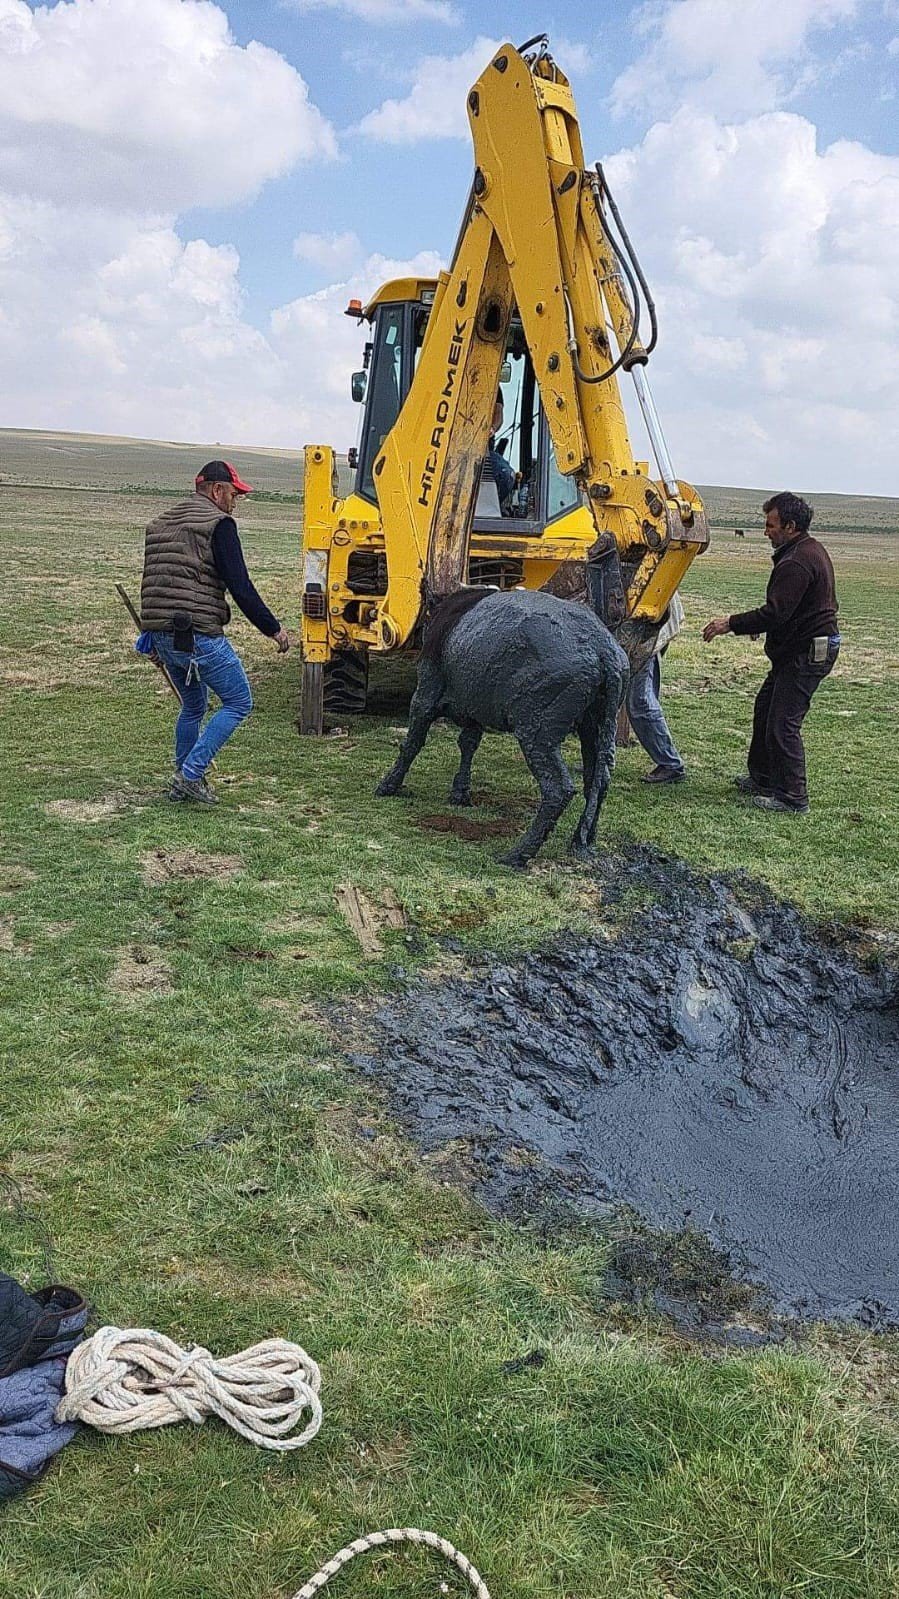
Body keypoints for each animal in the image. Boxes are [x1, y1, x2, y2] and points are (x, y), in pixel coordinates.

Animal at [374, 588, 627, 869]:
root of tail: (603, 649)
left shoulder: (425, 694)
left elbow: (412, 743)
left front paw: (388, 785)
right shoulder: (473, 707)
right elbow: (468, 743)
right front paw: (460, 793)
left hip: (536, 732)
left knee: (559, 788)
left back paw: (518, 854)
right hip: (595, 727)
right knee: (598, 780)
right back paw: (582, 840)